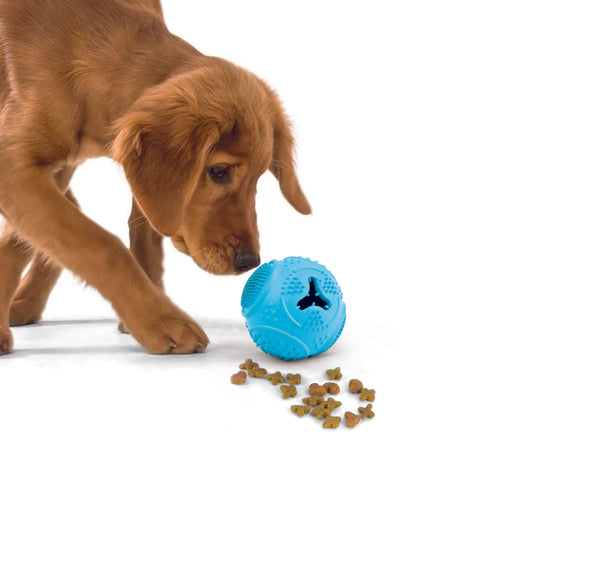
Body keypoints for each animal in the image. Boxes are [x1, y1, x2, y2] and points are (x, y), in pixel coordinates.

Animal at [0, 0, 310, 354]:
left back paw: (25, 303)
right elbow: (97, 243)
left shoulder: (57, 167)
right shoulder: (14, 167)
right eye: (219, 172)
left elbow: (138, 233)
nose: (249, 261)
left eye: (259, 178)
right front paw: (161, 321)